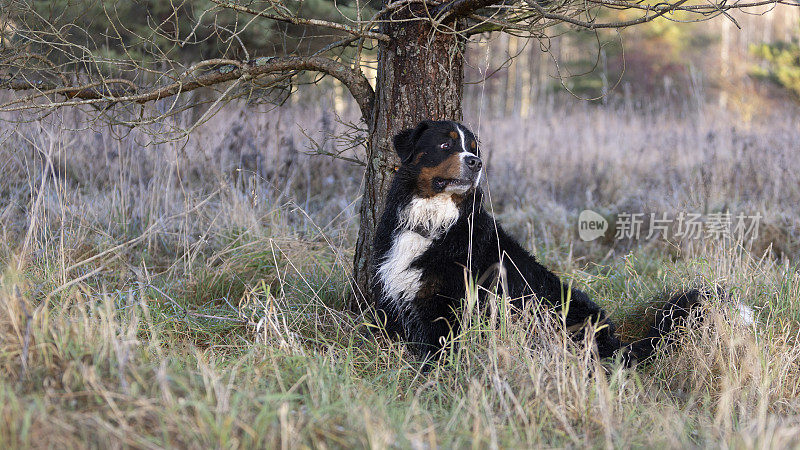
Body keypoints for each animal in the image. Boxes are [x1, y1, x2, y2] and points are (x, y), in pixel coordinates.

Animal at [372, 119, 728, 366]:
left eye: (473, 148)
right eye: (446, 145)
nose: (475, 162)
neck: (433, 223)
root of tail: (618, 346)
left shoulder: (448, 307)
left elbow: (437, 355)